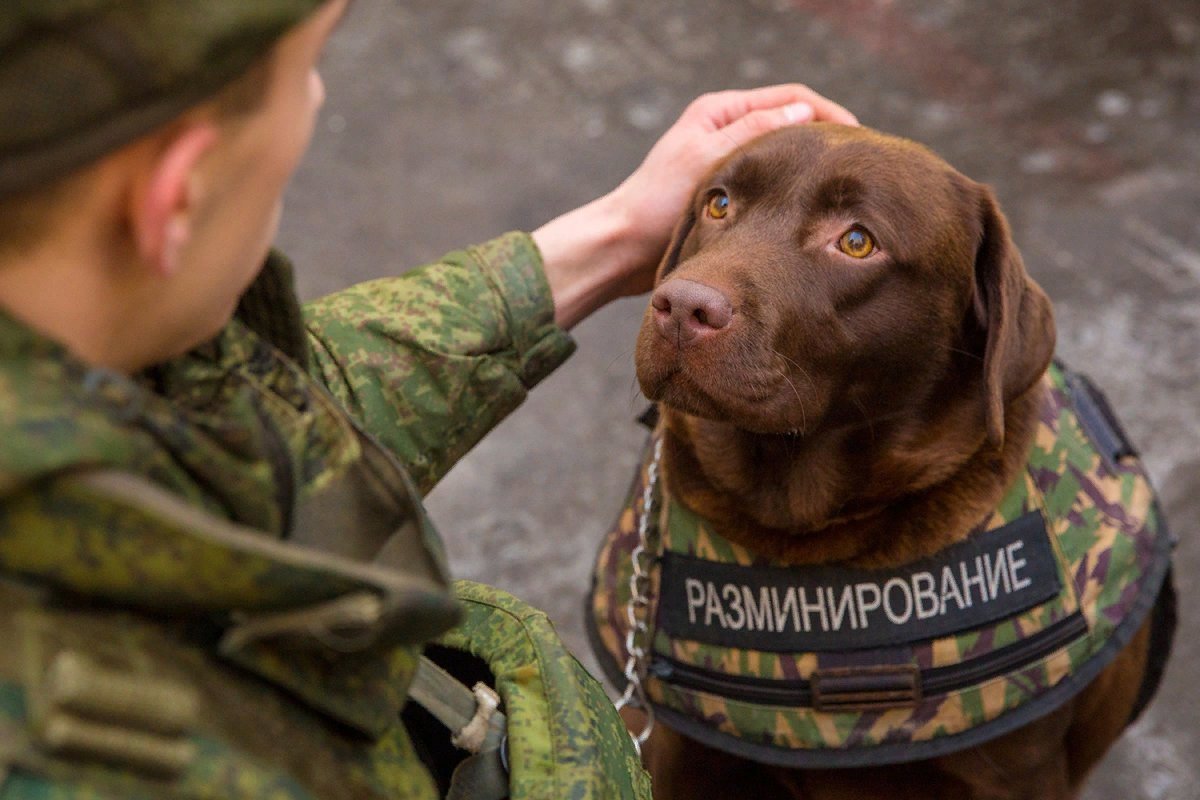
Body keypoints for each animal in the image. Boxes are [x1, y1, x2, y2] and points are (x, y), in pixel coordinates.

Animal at [628, 122, 1161, 796]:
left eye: (857, 241)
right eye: (718, 204)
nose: (681, 307)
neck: (808, 525)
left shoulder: (1018, 769)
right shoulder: (675, 751)